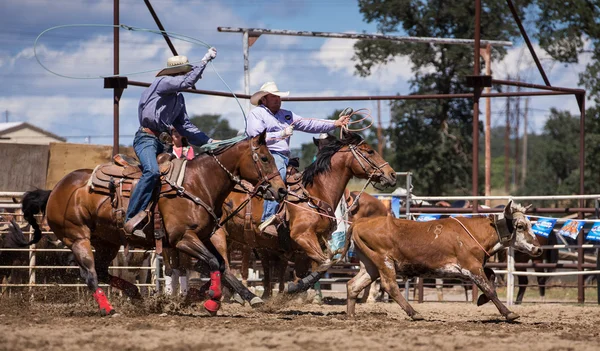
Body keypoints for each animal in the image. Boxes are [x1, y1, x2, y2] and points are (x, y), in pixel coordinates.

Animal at [19, 133, 288, 318]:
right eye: (265, 158)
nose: (281, 190)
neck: (197, 183)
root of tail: (55, 190)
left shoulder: (205, 236)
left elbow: (222, 266)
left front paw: (248, 297)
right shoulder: (183, 239)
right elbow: (213, 263)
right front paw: (212, 301)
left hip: (107, 241)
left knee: (103, 271)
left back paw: (134, 294)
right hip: (78, 238)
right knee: (91, 274)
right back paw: (109, 308)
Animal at [209, 132, 396, 302]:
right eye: (370, 151)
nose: (392, 174)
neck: (315, 193)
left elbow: (313, 266)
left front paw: (294, 291)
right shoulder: (301, 236)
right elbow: (323, 263)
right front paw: (296, 290)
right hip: (220, 237)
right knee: (224, 266)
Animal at [344, 202, 540, 324]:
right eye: (520, 226)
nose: (538, 249)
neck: (478, 233)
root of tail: (361, 222)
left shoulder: (474, 267)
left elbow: (491, 276)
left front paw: (481, 300)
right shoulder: (471, 267)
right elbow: (489, 289)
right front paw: (508, 313)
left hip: (369, 265)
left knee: (353, 285)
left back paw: (351, 315)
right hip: (384, 261)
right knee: (389, 285)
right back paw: (414, 313)